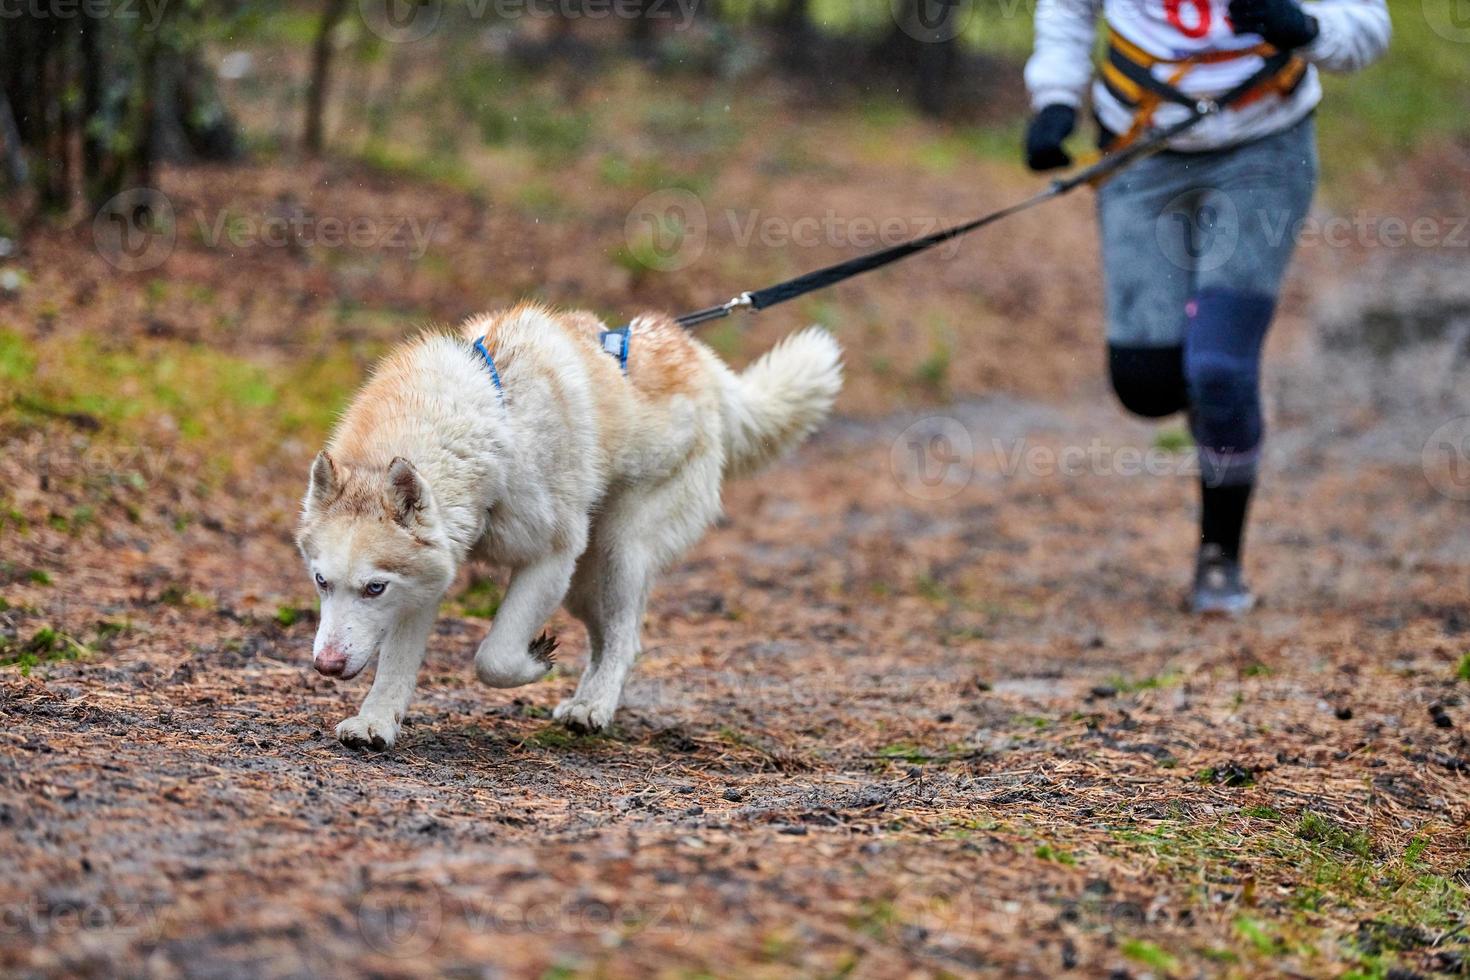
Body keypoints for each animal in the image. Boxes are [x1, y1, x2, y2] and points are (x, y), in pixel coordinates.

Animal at [295, 307, 840, 752]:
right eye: (321, 582)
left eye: (374, 588)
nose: (325, 666)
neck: (494, 425)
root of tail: (700, 361)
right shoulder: (430, 578)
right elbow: (396, 667)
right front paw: (375, 723)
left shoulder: (550, 557)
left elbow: (493, 658)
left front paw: (535, 662)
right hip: (584, 583)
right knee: (604, 639)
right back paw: (586, 699)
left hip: (620, 554)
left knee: (625, 638)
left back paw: (593, 708)